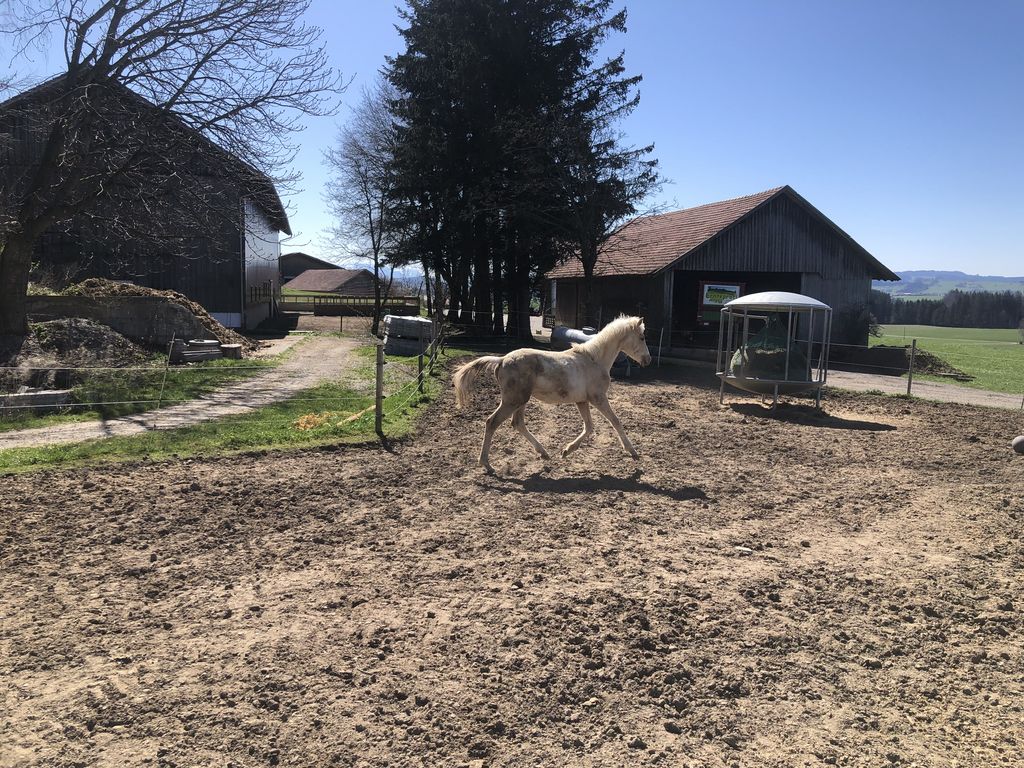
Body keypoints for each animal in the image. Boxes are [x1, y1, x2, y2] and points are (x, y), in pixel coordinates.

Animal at [452, 315, 652, 472]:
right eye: (642, 337)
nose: (648, 360)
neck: (595, 360)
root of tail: (501, 360)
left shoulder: (582, 401)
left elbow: (589, 427)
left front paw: (566, 451)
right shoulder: (598, 398)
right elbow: (615, 421)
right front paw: (633, 452)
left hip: (521, 400)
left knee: (517, 423)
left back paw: (544, 453)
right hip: (513, 400)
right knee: (492, 422)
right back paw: (486, 464)